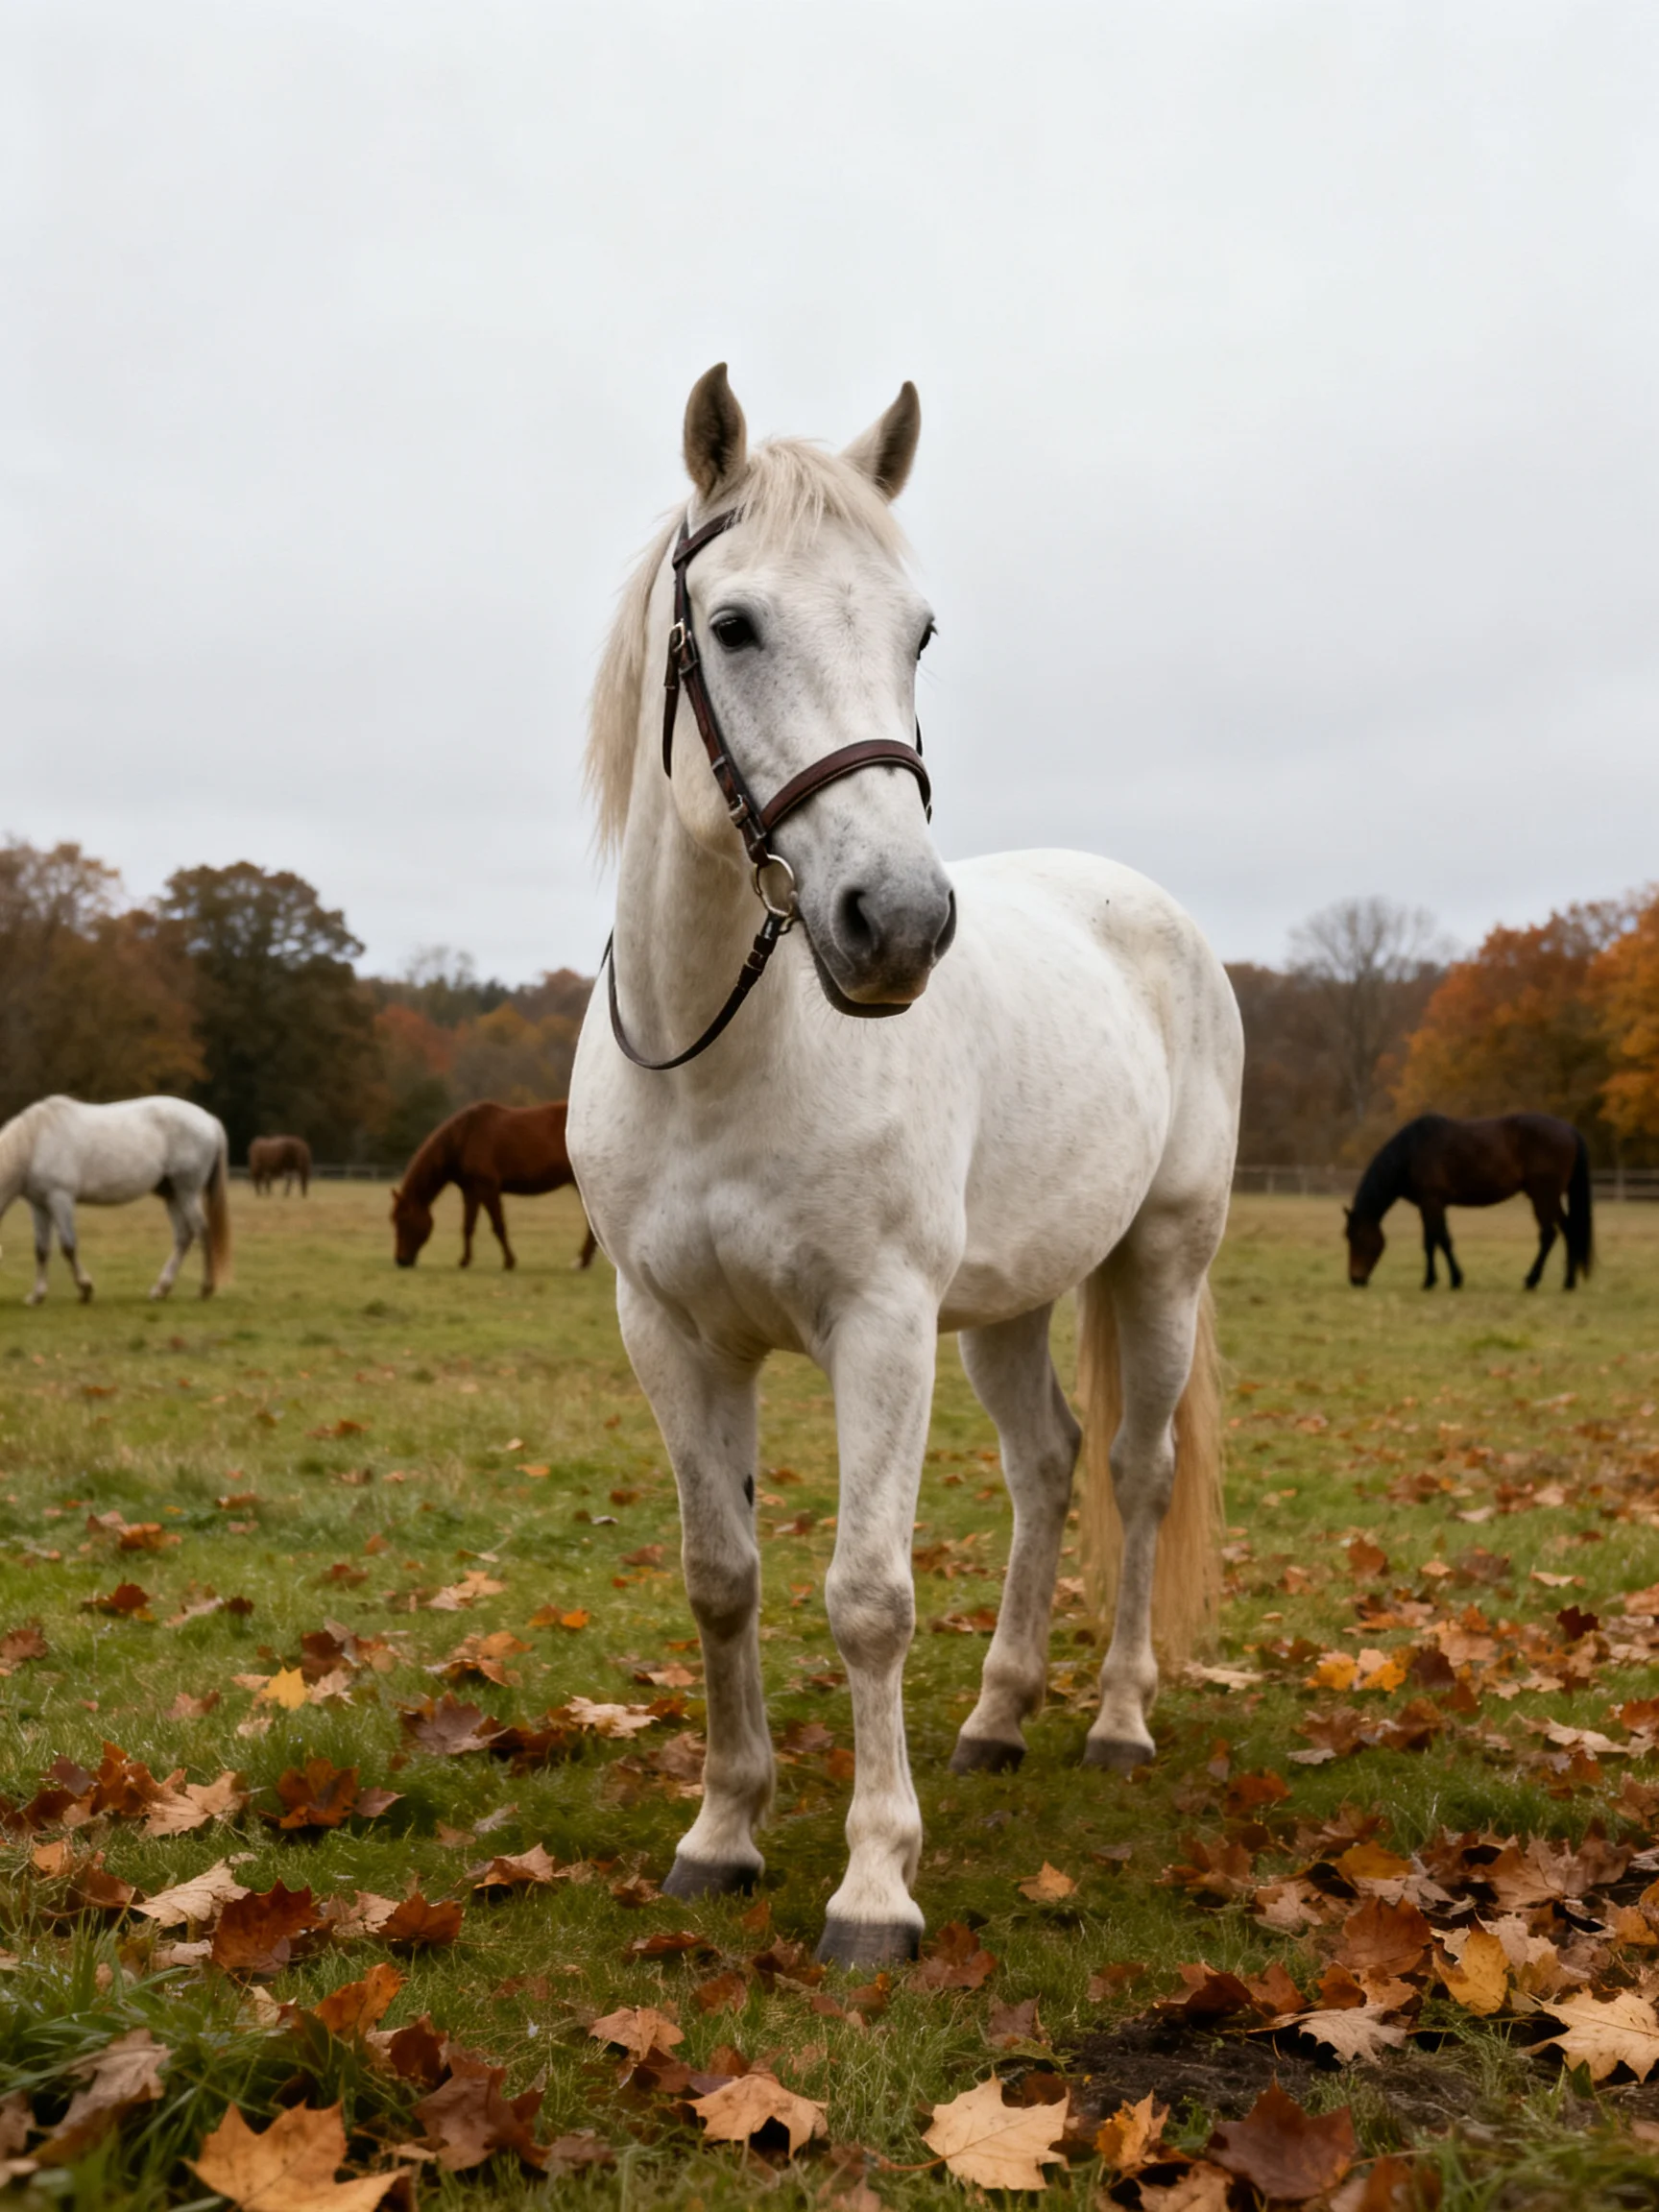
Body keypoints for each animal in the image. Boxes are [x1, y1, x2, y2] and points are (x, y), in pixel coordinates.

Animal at [0, 1094, 233, 1305]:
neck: (35, 1140)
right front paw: (36, 1296)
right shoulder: (39, 1205)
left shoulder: (60, 1198)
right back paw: (161, 1290)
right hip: (173, 1195)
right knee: (184, 1236)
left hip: (187, 1192)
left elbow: (68, 1246)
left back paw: (206, 1288)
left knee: (202, 1231)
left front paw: (85, 1290)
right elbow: (41, 1250)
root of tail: (209, 1120)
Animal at [390, 1099, 597, 1271]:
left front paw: (509, 1262)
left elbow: (498, 1226)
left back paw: (582, 1261)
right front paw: (464, 1261)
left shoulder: (488, 1189)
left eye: (403, 1219)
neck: (464, 1137)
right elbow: (468, 1227)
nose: (401, 1261)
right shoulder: (470, 1192)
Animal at [567, 366, 1242, 1967]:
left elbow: (866, 1596)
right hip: (1003, 1305)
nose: (900, 925)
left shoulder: (877, 1326)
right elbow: (722, 1580)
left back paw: (1116, 1723)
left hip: (1161, 1265)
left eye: (917, 631)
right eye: (733, 625)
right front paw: (723, 1834)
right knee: (1048, 1464)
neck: (720, 1055)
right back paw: (999, 1718)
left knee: (1134, 1470)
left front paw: (874, 1887)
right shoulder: (672, 1334)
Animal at [1345, 1112, 1593, 1290]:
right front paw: (1434, 1280)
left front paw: (1450, 1280)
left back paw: (1533, 1280)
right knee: (1568, 1230)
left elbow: (1441, 1240)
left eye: (1357, 1237)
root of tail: (1569, 1130)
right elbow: (1431, 1241)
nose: (1355, 1280)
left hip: (1543, 1195)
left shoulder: (1433, 1201)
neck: (1413, 1151)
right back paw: (1568, 1282)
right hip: (1549, 1196)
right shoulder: (1428, 1205)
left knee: (1549, 1234)